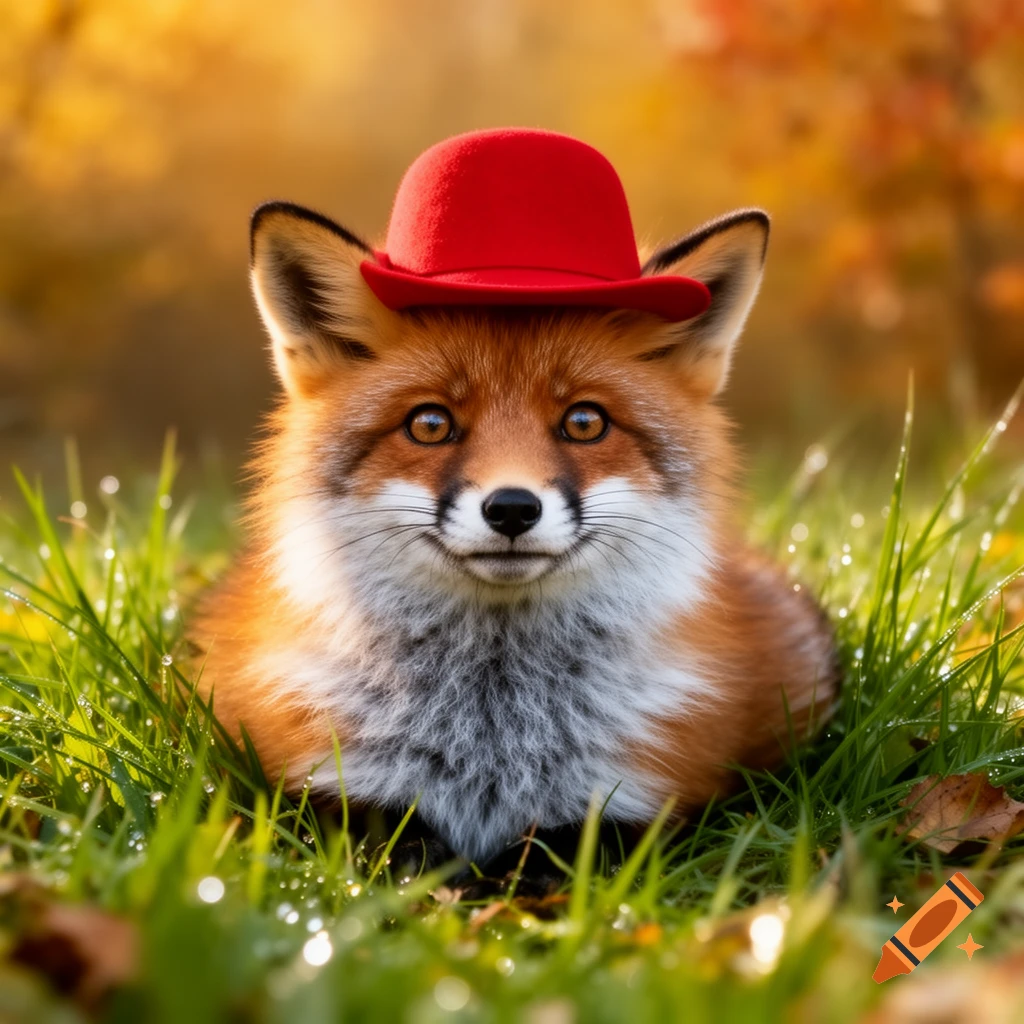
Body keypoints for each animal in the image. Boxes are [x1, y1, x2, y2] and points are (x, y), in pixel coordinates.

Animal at [192, 200, 840, 865]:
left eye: (584, 422)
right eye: (430, 424)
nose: (510, 509)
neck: (494, 725)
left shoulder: (638, 803)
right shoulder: (332, 796)